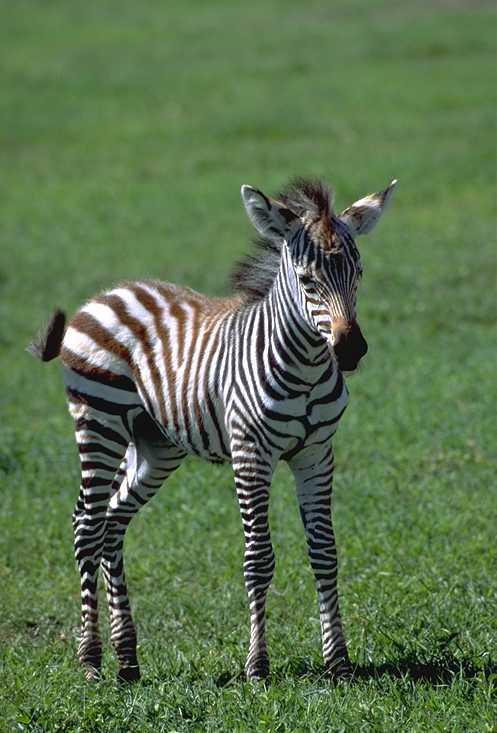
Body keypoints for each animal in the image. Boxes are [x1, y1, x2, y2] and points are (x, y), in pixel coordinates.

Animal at [29, 176, 396, 682]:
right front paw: (257, 666)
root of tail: (106, 294)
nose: (351, 350)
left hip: (154, 445)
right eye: (308, 280)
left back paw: (128, 659)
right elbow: (258, 559)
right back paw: (91, 659)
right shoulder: (250, 452)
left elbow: (325, 552)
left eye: (358, 273)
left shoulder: (316, 452)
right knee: (86, 524)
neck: (304, 366)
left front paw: (338, 663)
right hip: (99, 422)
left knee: (112, 521)